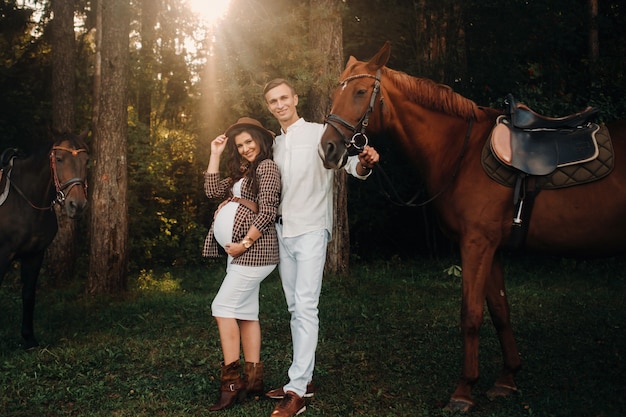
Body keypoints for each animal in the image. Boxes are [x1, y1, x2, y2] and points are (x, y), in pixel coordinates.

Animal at [0, 131, 89, 348]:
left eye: (86, 161)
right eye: (59, 159)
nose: (77, 205)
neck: (24, 200)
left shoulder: (34, 255)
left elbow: (28, 294)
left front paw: (29, 338)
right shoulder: (2, 255)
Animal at [320, 40, 620, 412]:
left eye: (360, 92)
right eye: (337, 92)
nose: (327, 148)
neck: (461, 153)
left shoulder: (476, 244)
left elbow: (471, 314)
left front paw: (463, 391)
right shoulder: (491, 247)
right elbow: (500, 310)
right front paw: (507, 378)